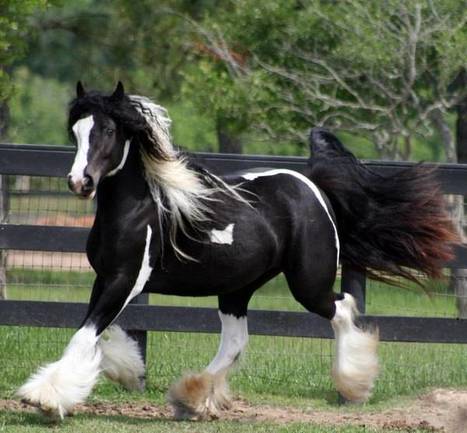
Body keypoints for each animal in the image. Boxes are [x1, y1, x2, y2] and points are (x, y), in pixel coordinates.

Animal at [17, 82, 458, 420]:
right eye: (75, 132)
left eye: (108, 129)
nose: (80, 182)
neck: (140, 209)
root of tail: (310, 183)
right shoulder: (110, 278)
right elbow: (100, 330)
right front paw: (125, 372)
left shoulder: (126, 280)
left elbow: (86, 332)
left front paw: (43, 397)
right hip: (237, 288)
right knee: (235, 342)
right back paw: (192, 397)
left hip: (307, 284)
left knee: (344, 309)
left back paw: (354, 385)